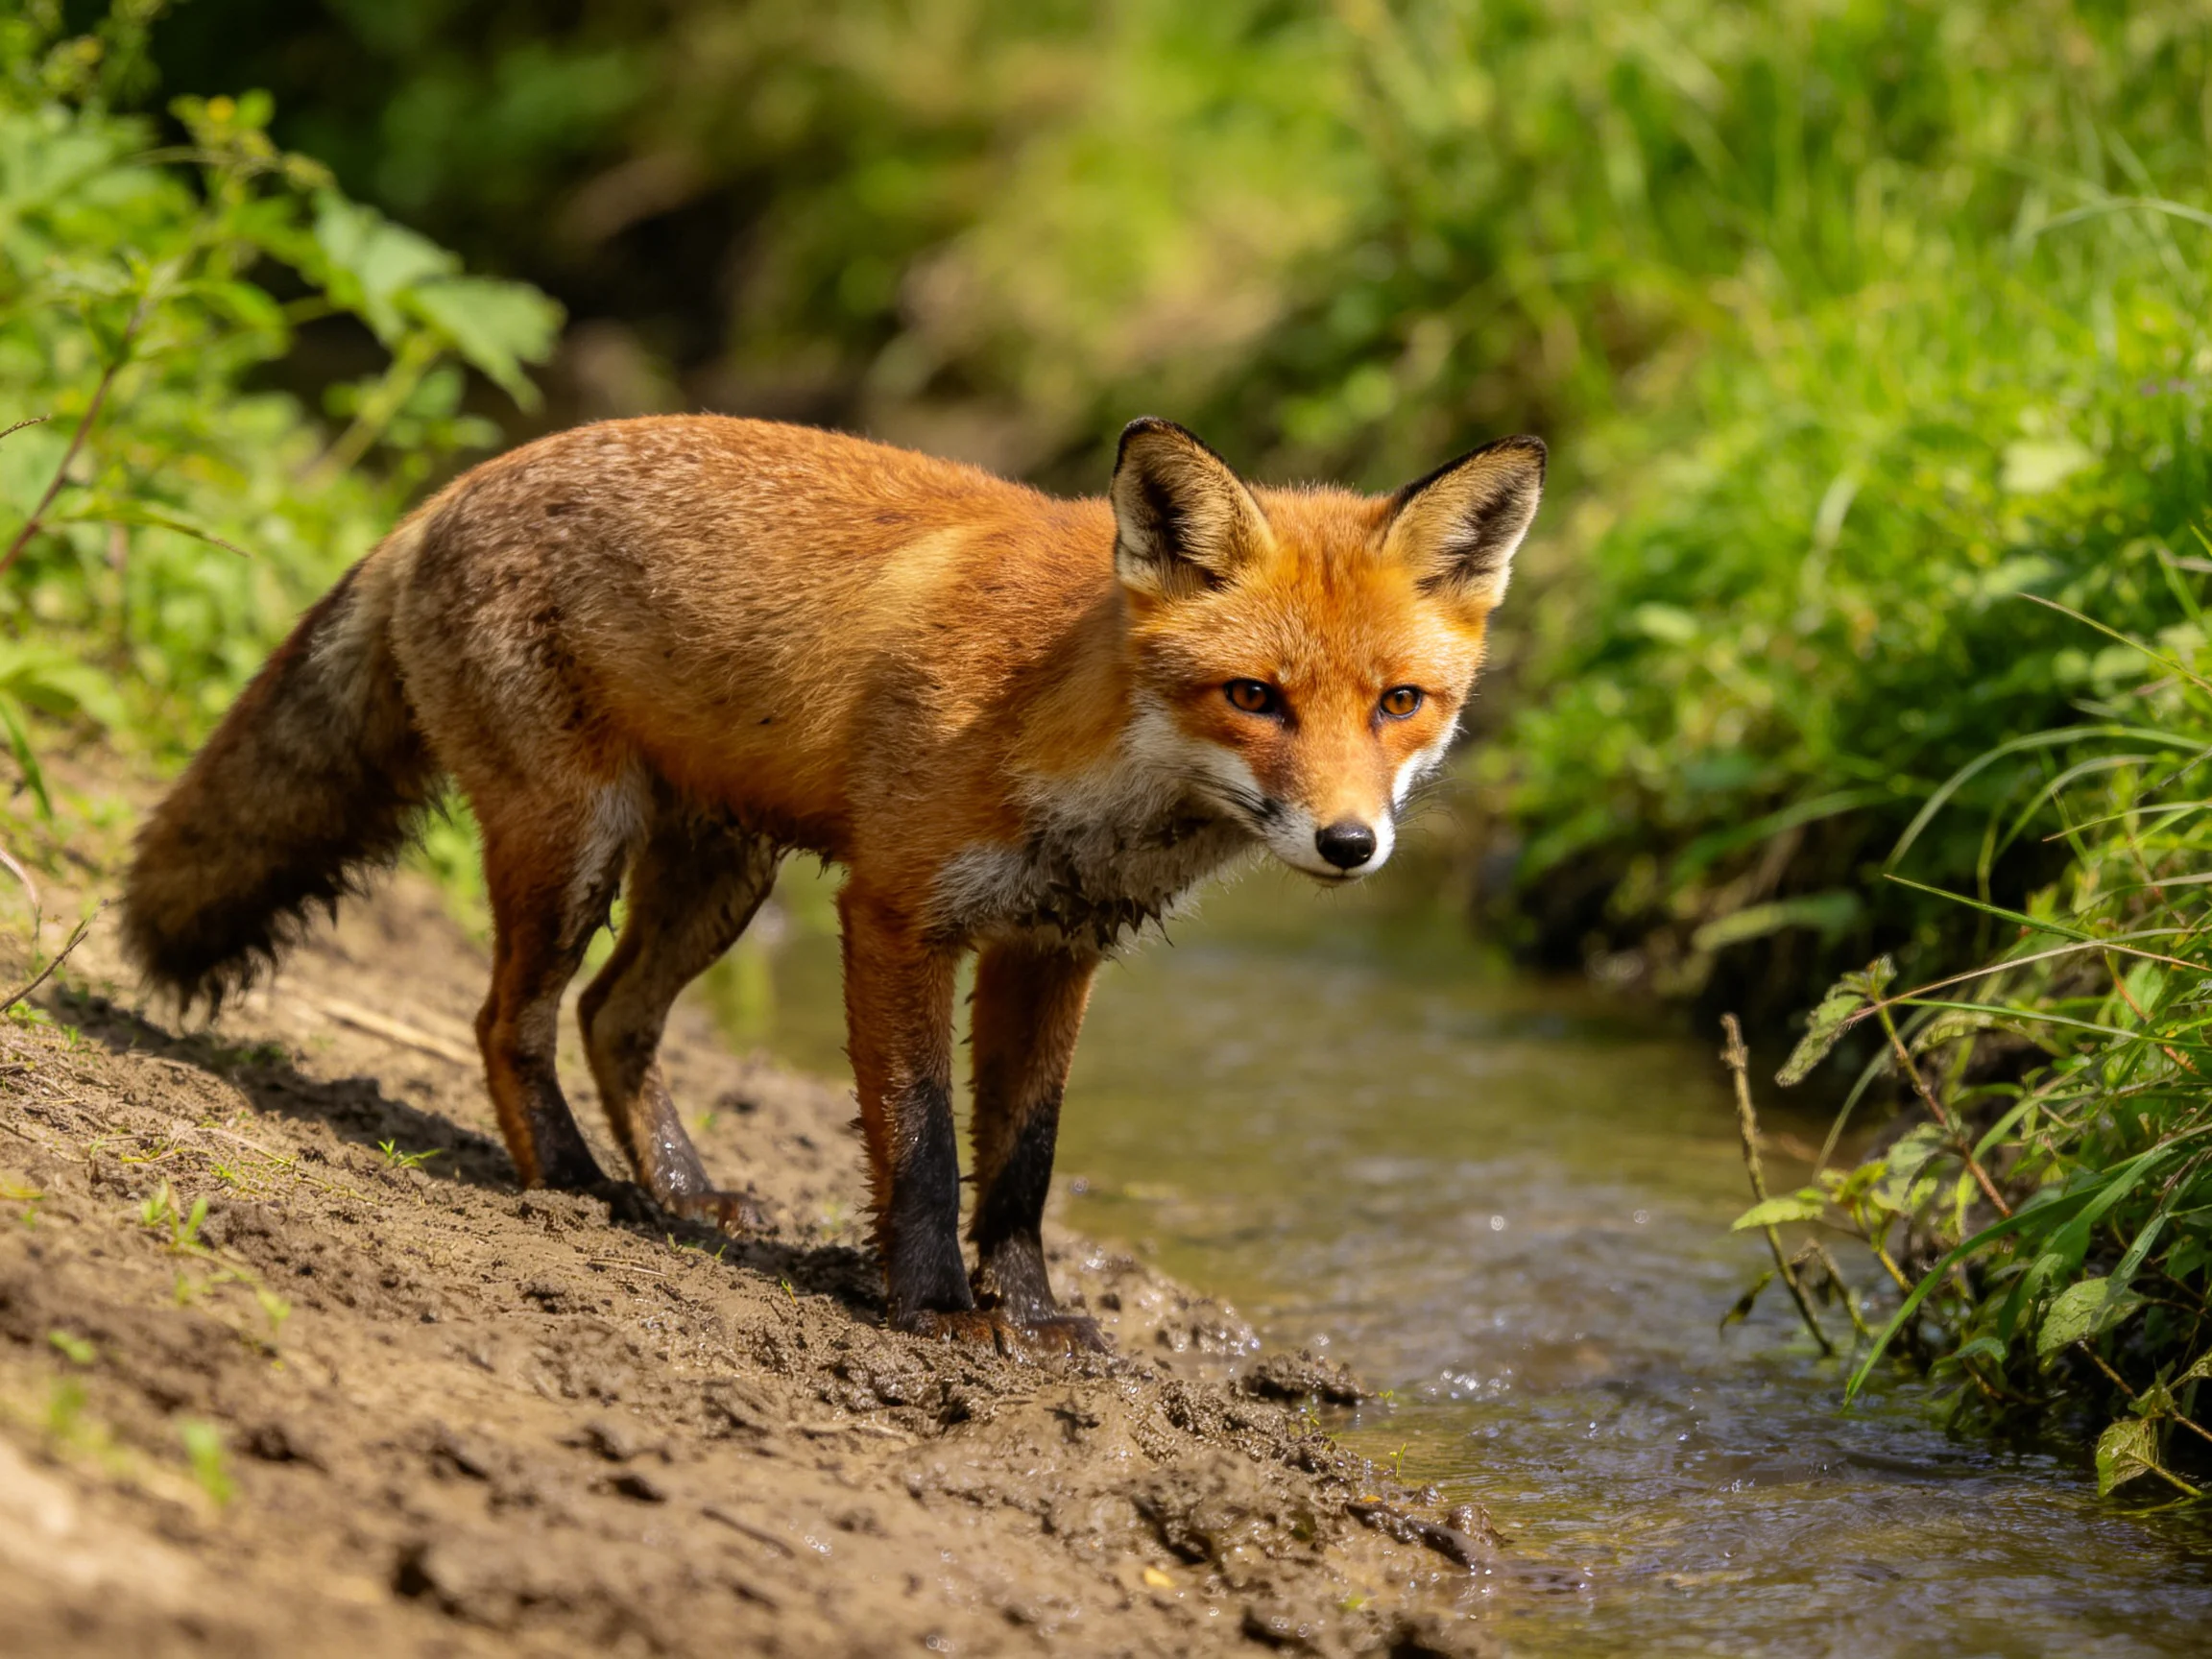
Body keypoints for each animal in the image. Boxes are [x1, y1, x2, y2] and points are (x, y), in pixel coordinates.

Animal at [119, 415, 1543, 1352]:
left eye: (1400, 704)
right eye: (1254, 697)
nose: (1350, 845)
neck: (1070, 734)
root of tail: (449, 490)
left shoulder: (1051, 948)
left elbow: (1022, 1165)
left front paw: (1034, 1316)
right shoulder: (900, 915)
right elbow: (919, 1145)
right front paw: (933, 1310)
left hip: (720, 877)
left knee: (612, 1018)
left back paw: (683, 1194)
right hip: (571, 848)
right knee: (506, 1020)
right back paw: (573, 1185)